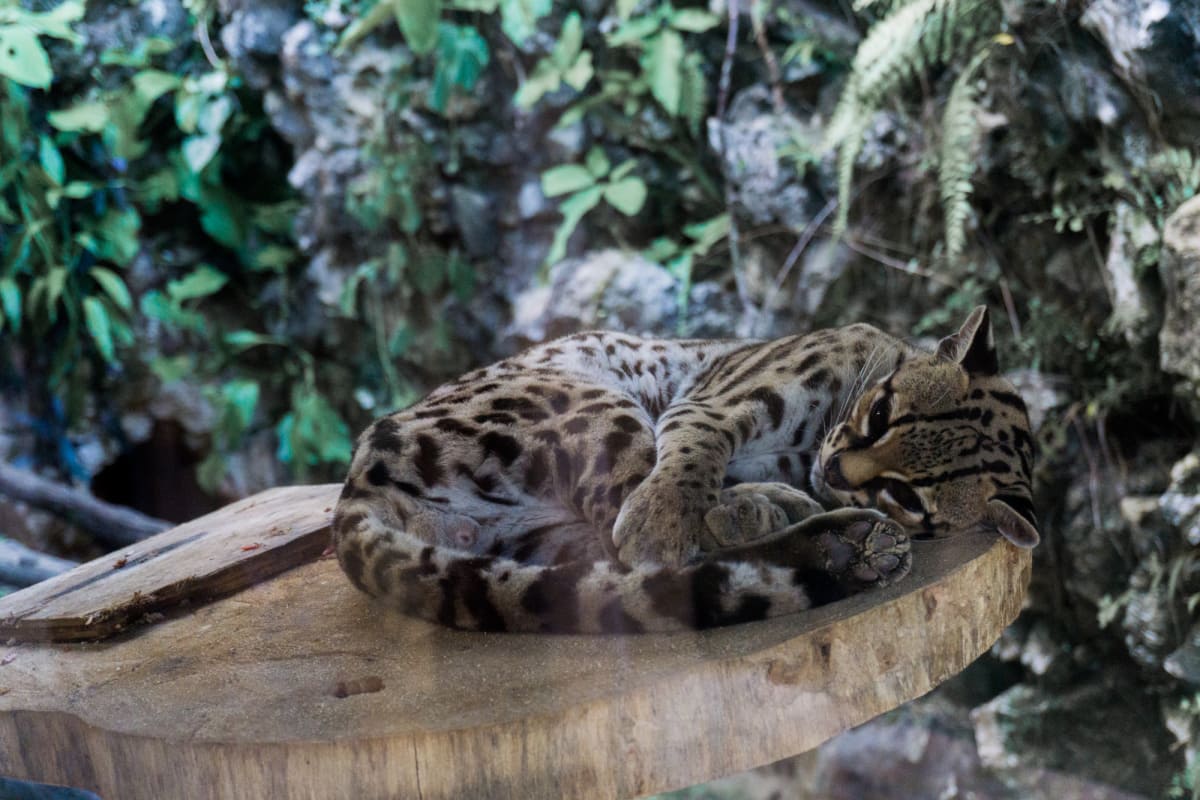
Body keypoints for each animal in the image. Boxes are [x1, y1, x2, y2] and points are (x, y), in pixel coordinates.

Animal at [333, 304, 1036, 633]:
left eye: (910, 497)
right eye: (883, 412)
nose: (839, 471)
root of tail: (356, 483)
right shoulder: (717, 397)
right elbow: (695, 453)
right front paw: (666, 513)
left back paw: (832, 538)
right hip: (595, 399)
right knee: (638, 525)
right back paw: (782, 516)